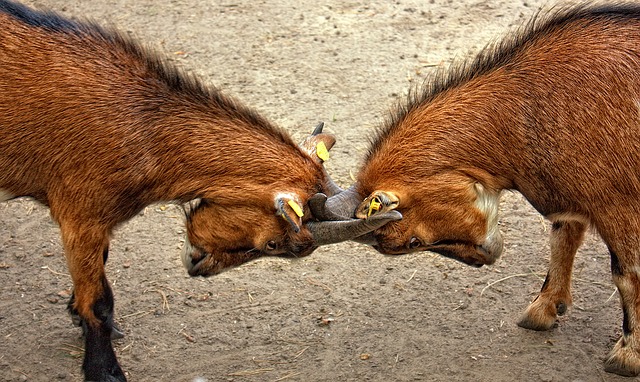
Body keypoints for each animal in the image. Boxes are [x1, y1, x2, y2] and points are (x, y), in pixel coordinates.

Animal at [0, 1, 396, 380]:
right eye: (277, 245)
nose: (197, 267)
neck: (144, 127)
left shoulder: (98, 222)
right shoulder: (80, 216)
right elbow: (97, 302)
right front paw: (105, 372)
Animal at [310, 2, 640, 378]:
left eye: (413, 242)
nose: (483, 258)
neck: (525, 106)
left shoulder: (617, 203)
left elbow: (626, 274)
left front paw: (627, 356)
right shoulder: (569, 197)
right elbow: (562, 240)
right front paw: (541, 311)